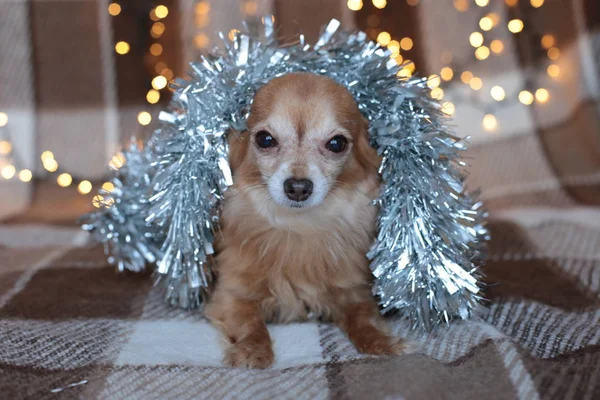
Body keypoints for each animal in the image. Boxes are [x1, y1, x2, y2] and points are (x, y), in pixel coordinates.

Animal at [204, 72, 406, 368]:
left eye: (336, 144)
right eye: (265, 139)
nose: (298, 187)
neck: (299, 226)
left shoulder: (353, 291)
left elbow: (363, 319)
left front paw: (382, 342)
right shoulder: (232, 295)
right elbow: (251, 323)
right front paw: (252, 349)